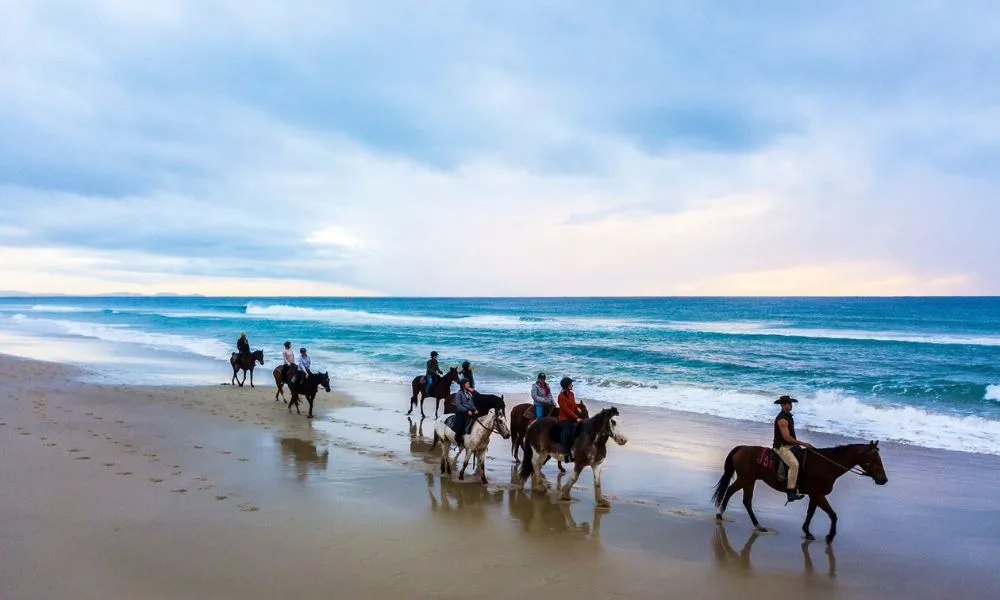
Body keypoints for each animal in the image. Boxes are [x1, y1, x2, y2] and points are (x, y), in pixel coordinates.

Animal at [711, 441, 888, 544]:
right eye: (874, 459)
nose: (883, 479)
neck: (826, 464)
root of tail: (741, 448)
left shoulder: (814, 495)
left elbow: (811, 513)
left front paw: (807, 531)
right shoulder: (818, 495)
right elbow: (832, 514)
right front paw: (830, 536)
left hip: (745, 479)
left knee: (730, 491)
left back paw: (720, 514)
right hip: (748, 480)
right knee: (746, 501)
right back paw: (758, 525)